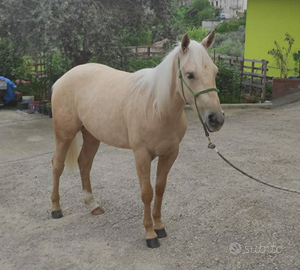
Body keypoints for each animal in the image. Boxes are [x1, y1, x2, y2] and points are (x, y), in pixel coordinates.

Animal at [50, 30, 224, 248]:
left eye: (215, 72)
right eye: (190, 74)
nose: (216, 119)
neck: (157, 107)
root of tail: (62, 79)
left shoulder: (170, 154)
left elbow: (159, 189)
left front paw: (159, 226)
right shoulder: (141, 155)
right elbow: (147, 192)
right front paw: (150, 234)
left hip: (92, 136)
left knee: (84, 163)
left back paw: (92, 204)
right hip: (64, 135)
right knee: (57, 165)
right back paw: (56, 208)